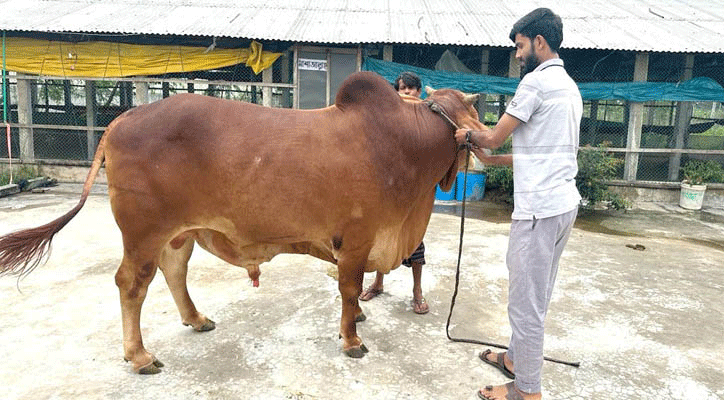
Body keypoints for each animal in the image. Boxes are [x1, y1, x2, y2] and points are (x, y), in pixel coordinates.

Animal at [1, 70, 486, 374]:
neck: (404, 144)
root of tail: (123, 119)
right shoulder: (355, 240)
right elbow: (348, 289)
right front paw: (352, 339)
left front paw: (358, 318)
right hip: (142, 232)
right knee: (132, 284)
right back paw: (139, 356)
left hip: (179, 234)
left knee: (174, 272)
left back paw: (196, 319)